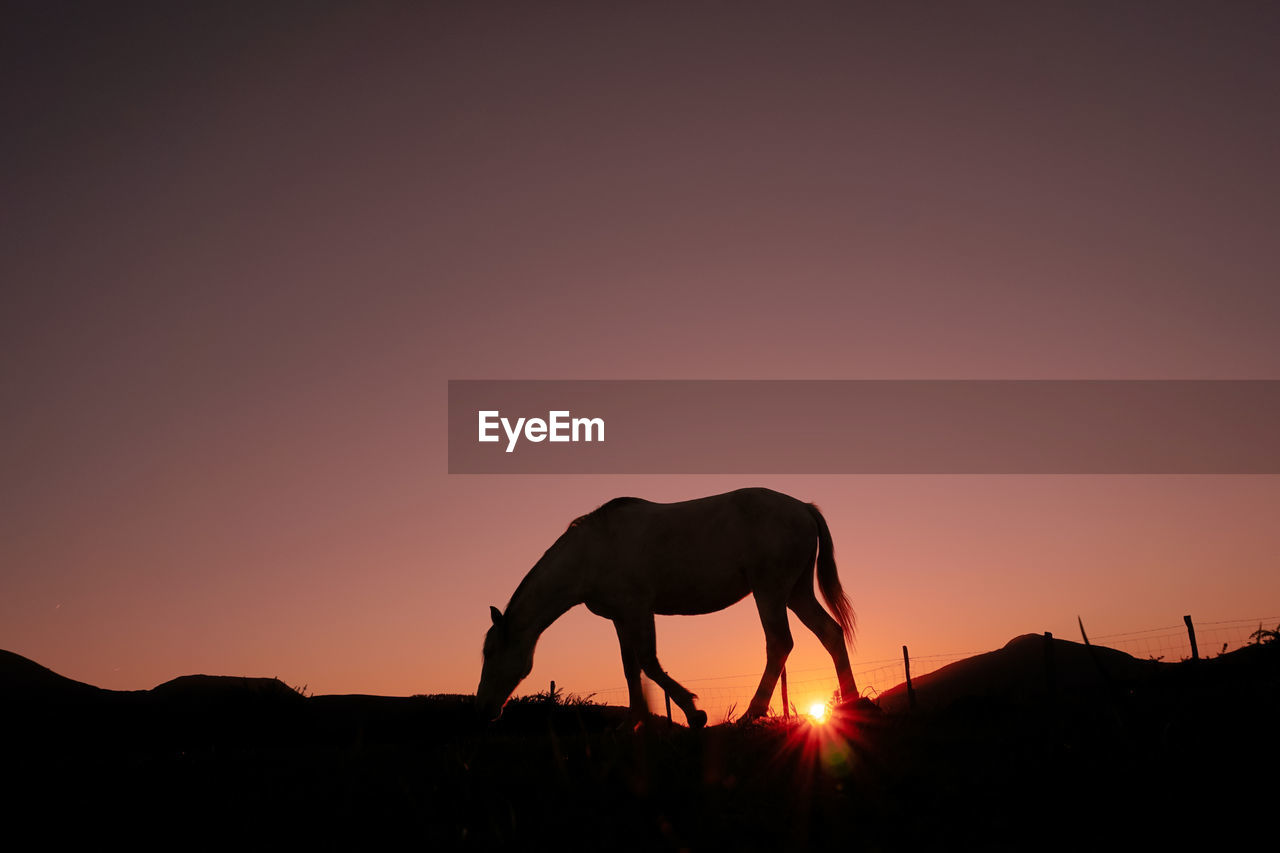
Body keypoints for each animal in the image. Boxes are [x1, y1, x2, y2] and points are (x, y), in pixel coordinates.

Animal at [476, 484, 855, 722]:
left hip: (770, 592)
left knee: (779, 644)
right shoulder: (621, 617)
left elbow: (649, 663)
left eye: (490, 653)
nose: (482, 708)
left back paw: (752, 712)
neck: (591, 552)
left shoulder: (638, 609)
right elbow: (630, 668)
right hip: (796, 592)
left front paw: (694, 712)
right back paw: (852, 703)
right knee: (831, 633)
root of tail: (803, 508)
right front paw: (634, 721)